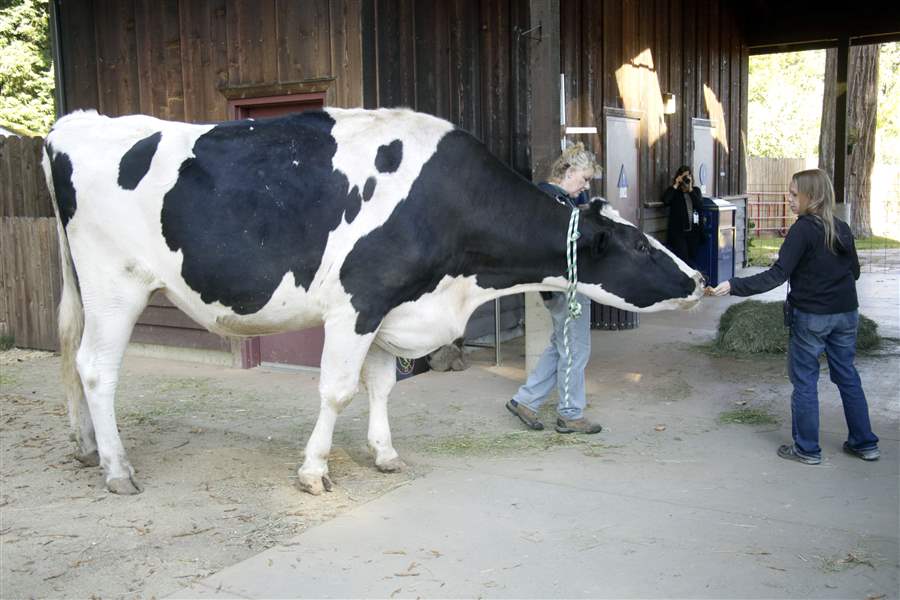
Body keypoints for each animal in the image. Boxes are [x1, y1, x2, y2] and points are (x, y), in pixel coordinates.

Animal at [42, 108, 704, 496]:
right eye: (639, 246)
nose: (701, 280)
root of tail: (72, 123)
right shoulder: (358, 302)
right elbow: (338, 390)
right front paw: (315, 470)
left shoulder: (393, 307)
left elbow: (383, 385)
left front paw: (385, 454)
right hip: (115, 285)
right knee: (96, 369)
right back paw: (117, 468)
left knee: (71, 358)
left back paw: (86, 448)